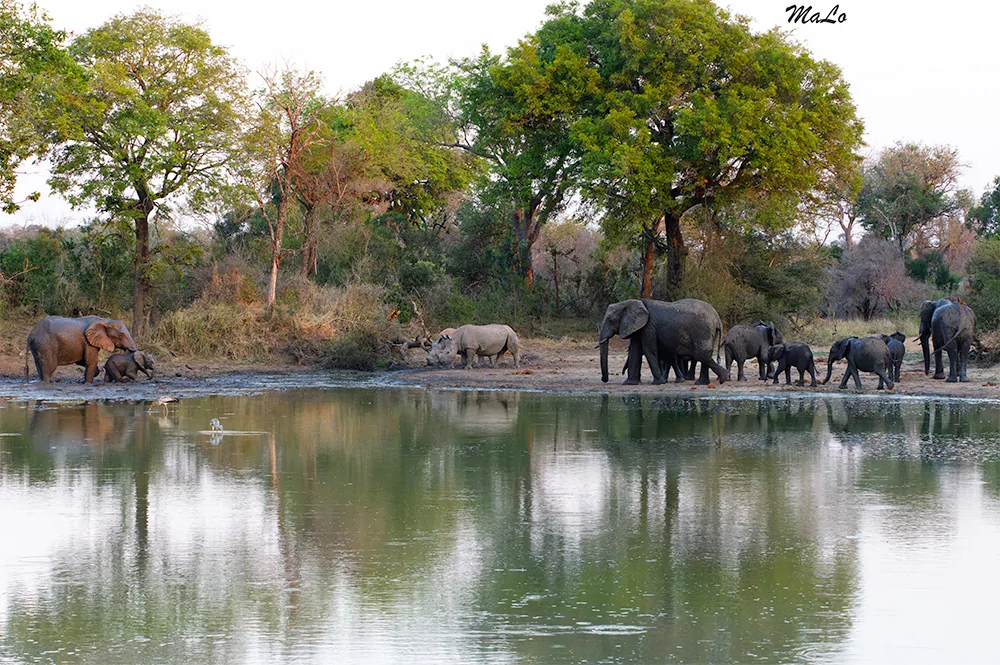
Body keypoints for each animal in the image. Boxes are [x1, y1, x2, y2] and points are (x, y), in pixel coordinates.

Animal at [598, 298, 728, 386]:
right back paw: (703, 383)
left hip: (703, 330)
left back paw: (723, 378)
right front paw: (629, 383)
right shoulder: (640, 327)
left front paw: (658, 383)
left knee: (701, 354)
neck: (632, 302)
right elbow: (636, 350)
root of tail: (717, 318)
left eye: (610, 321)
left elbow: (649, 350)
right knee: (704, 354)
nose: (604, 380)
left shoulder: (648, 327)